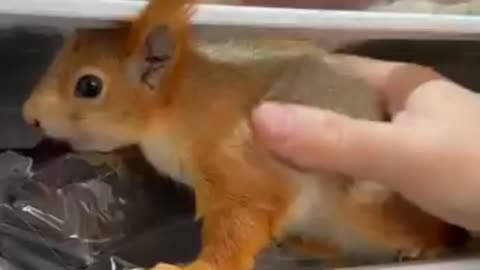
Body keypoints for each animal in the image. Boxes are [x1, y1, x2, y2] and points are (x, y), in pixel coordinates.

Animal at [22, 0, 468, 270]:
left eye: (89, 86)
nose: (30, 117)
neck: (177, 107)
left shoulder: (238, 161)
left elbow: (241, 223)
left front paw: (192, 266)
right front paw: (115, 159)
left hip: (369, 201)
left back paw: (429, 245)